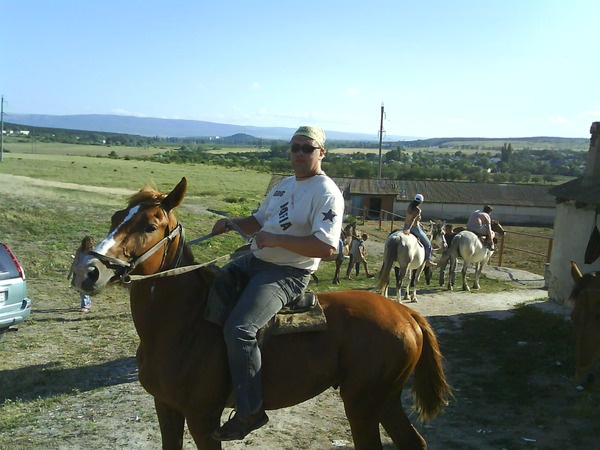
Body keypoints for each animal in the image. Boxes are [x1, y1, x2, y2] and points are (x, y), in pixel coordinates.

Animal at [70, 177, 450, 450]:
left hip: (362, 403)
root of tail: (406, 315)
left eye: (150, 226)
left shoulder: (202, 419)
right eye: (116, 219)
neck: (182, 326)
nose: (87, 271)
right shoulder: (166, 408)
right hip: (384, 400)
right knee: (412, 441)